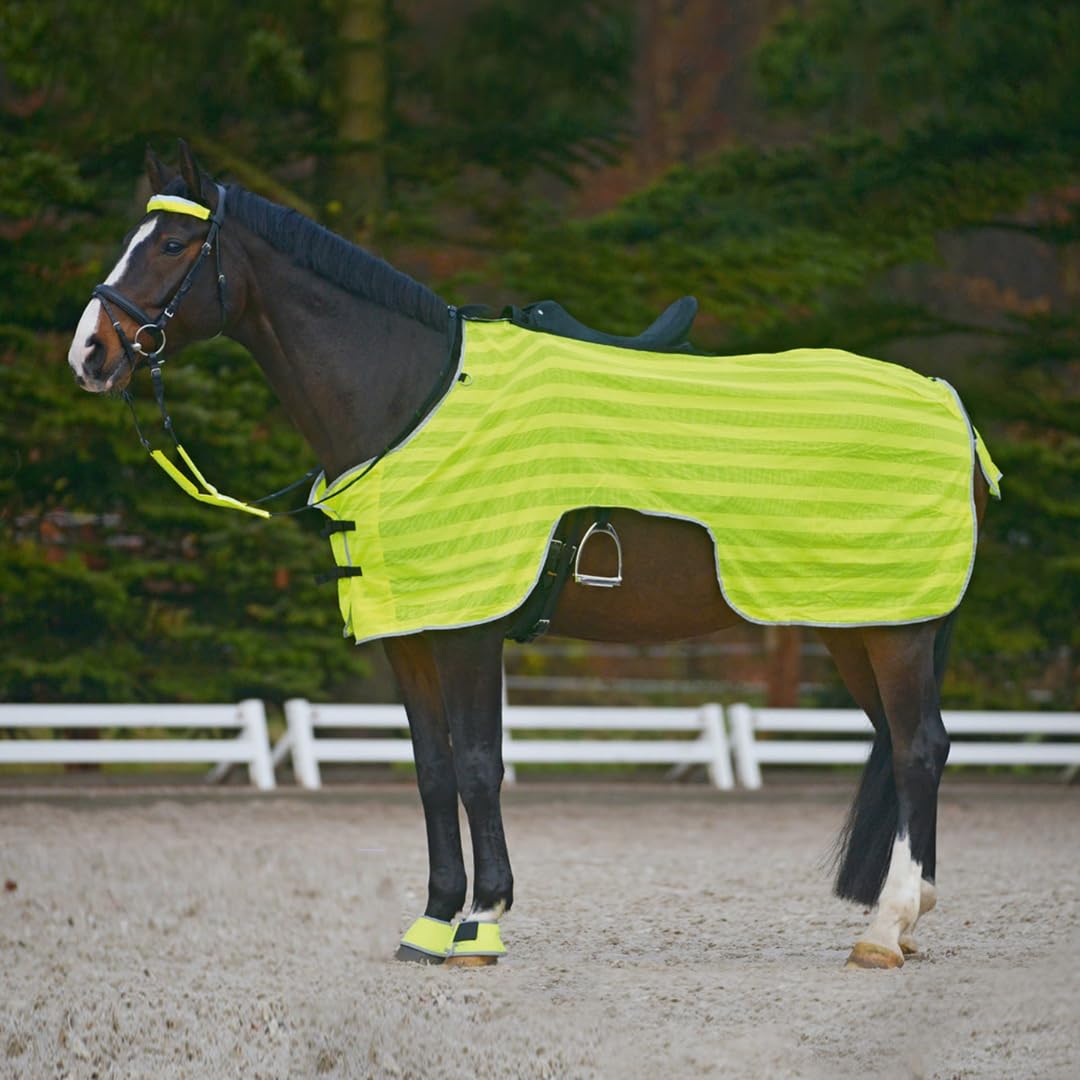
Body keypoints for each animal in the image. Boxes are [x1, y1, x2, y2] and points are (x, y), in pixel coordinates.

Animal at [67, 141, 995, 969]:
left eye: (174, 245)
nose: (90, 353)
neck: (414, 399)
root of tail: (948, 402)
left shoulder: (471, 629)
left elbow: (480, 767)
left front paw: (482, 923)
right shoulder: (410, 635)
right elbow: (433, 771)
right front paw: (432, 922)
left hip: (894, 628)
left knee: (918, 748)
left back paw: (886, 930)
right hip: (857, 622)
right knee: (905, 743)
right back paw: (908, 917)